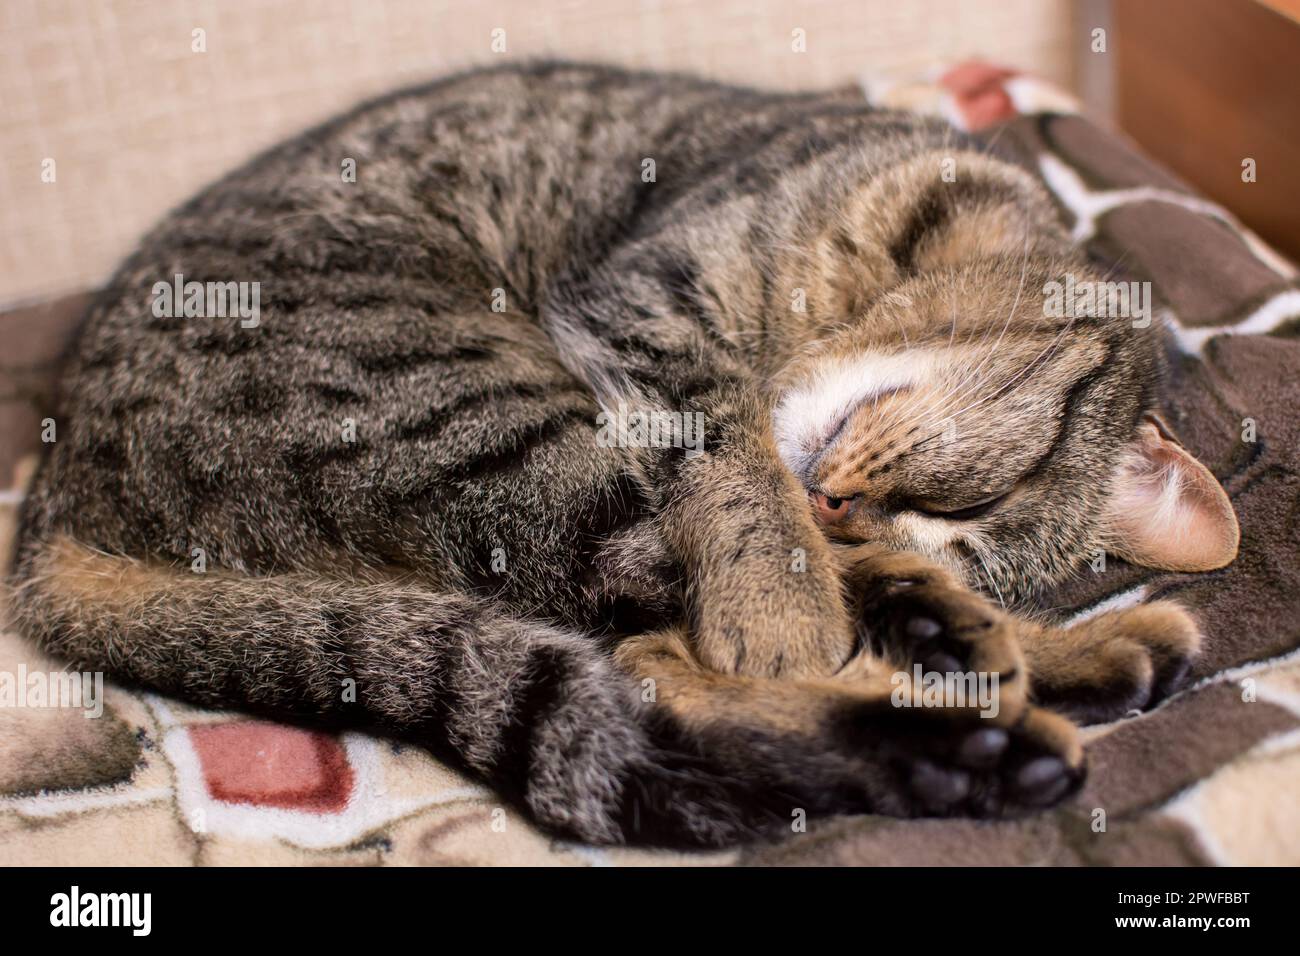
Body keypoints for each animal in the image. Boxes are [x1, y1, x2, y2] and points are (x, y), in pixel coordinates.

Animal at [7, 63, 1237, 848]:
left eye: (966, 527)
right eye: (995, 485)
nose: (848, 506)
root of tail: (52, 507)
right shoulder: (653, 306)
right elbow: (739, 476)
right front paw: (789, 600)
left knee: (653, 648)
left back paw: (1049, 655)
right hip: (489, 425)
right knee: (664, 651)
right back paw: (987, 696)